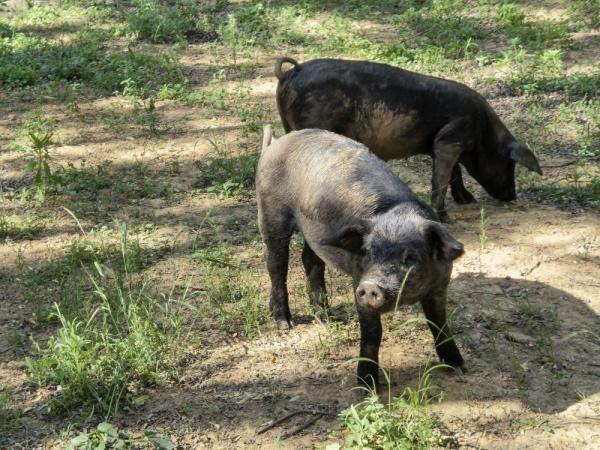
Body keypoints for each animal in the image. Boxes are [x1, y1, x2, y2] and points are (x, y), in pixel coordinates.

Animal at [255, 125, 466, 386]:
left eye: (410, 258)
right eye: (367, 252)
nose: (372, 286)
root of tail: (275, 143)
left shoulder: (440, 285)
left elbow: (439, 323)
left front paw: (459, 367)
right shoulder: (358, 282)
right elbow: (372, 334)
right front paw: (367, 385)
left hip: (312, 231)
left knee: (310, 260)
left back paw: (328, 317)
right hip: (271, 215)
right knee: (276, 267)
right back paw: (284, 323)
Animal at [276, 58, 544, 220]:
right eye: (509, 164)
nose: (512, 196)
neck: (483, 132)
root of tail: (291, 73)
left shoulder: (443, 145)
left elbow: (454, 172)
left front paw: (468, 201)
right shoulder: (450, 139)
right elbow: (443, 176)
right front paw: (444, 217)